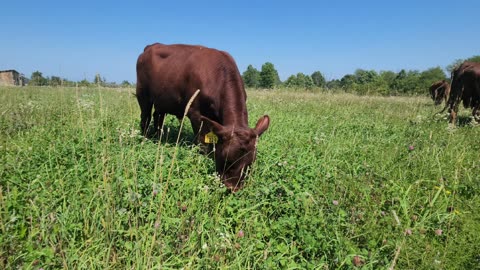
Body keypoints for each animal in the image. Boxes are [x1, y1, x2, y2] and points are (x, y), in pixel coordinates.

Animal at [135, 43, 270, 192]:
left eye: (250, 162)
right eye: (226, 158)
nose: (232, 188)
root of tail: (152, 46)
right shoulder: (196, 114)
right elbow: (202, 143)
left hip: (162, 100)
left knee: (158, 116)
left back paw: (159, 136)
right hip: (143, 95)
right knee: (145, 117)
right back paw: (145, 138)